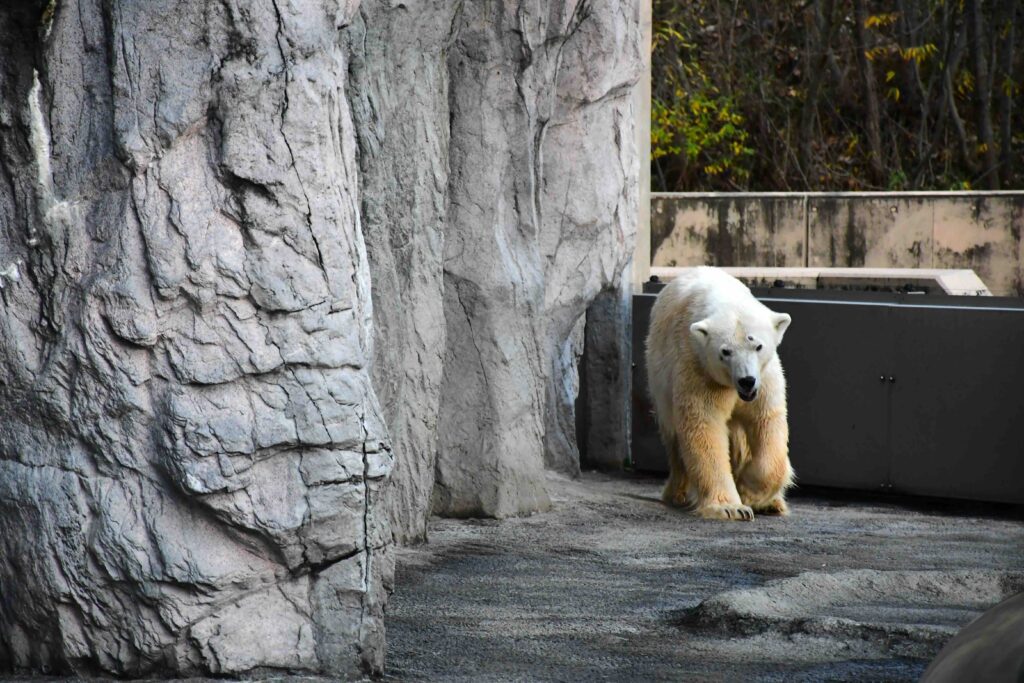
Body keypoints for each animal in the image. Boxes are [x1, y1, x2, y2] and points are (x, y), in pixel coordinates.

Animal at [643, 268, 794, 524]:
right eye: (725, 351)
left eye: (758, 346)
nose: (746, 380)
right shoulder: (698, 368)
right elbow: (705, 427)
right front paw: (733, 508)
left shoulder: (766, 380)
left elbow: (767, 423)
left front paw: (751, 493)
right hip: (659, 379)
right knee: (674, 440)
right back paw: (677, 494)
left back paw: (773, 503)